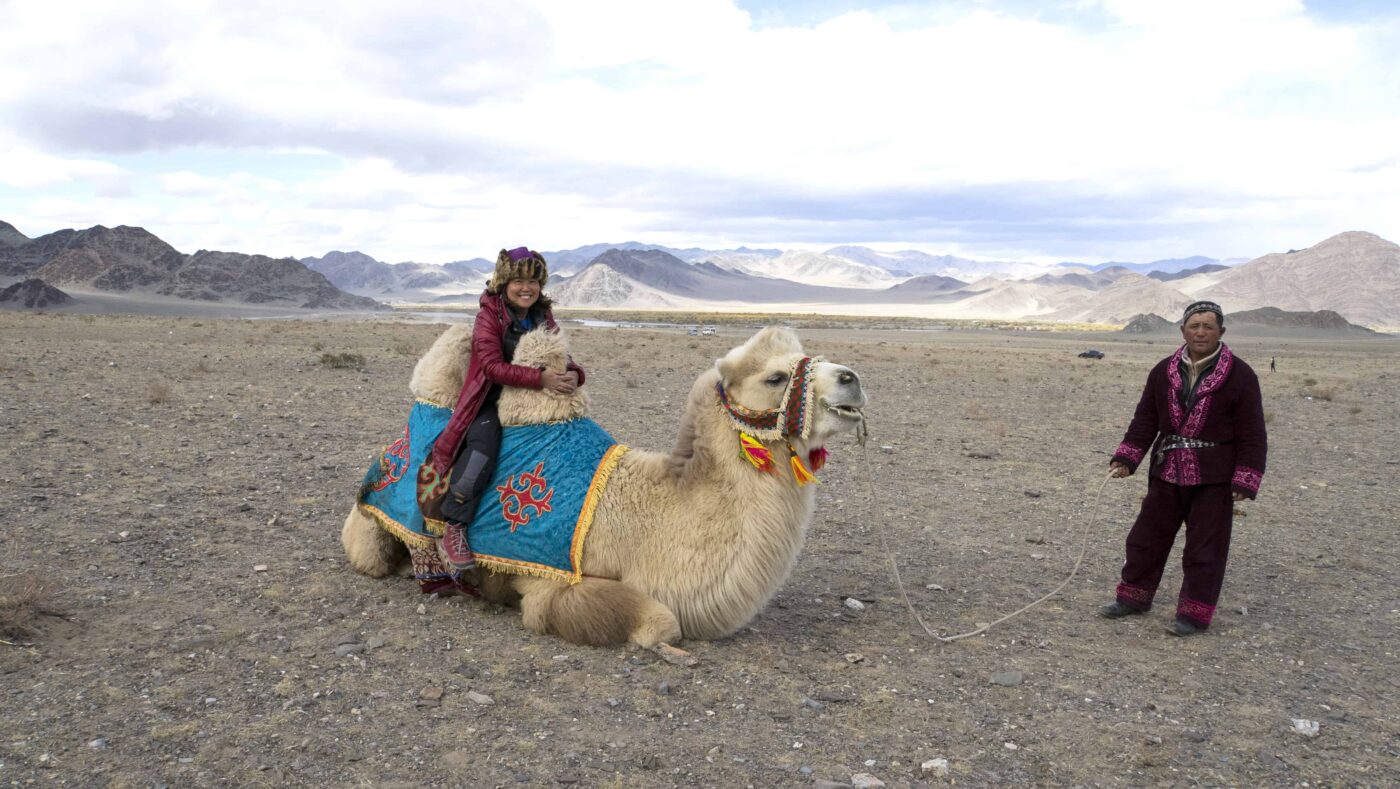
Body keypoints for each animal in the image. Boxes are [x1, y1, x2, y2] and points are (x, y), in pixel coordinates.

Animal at [338, 324, 862, 646]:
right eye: (775, 377)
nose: (851, 378)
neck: (656, 514)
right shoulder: (551, 585)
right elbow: (663, 621)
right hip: (370, 528)